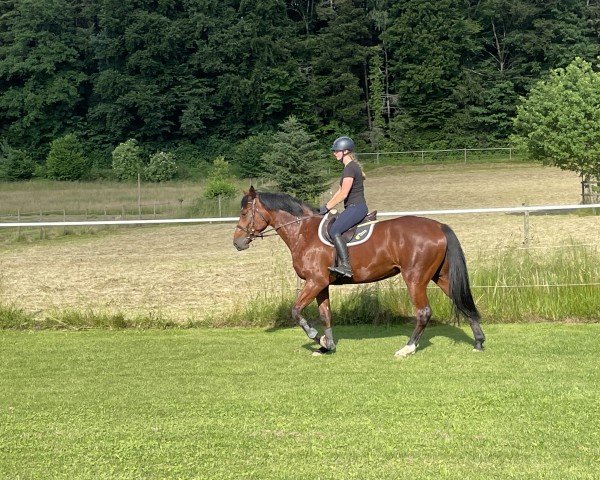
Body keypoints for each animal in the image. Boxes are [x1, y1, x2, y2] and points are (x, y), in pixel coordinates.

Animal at [232, 187, 486, 356]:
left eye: (244, 213)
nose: (237, 243)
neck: (303, 232)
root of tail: (438, 226)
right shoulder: (321, 284)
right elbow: (325, 314)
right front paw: (327, 345)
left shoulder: (314, 281)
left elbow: (295, 311)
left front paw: (316, 337)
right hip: (440, 276)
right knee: (462, 303)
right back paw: (479, 342)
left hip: (415, 278)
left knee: (424, 312)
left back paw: (407, 348)